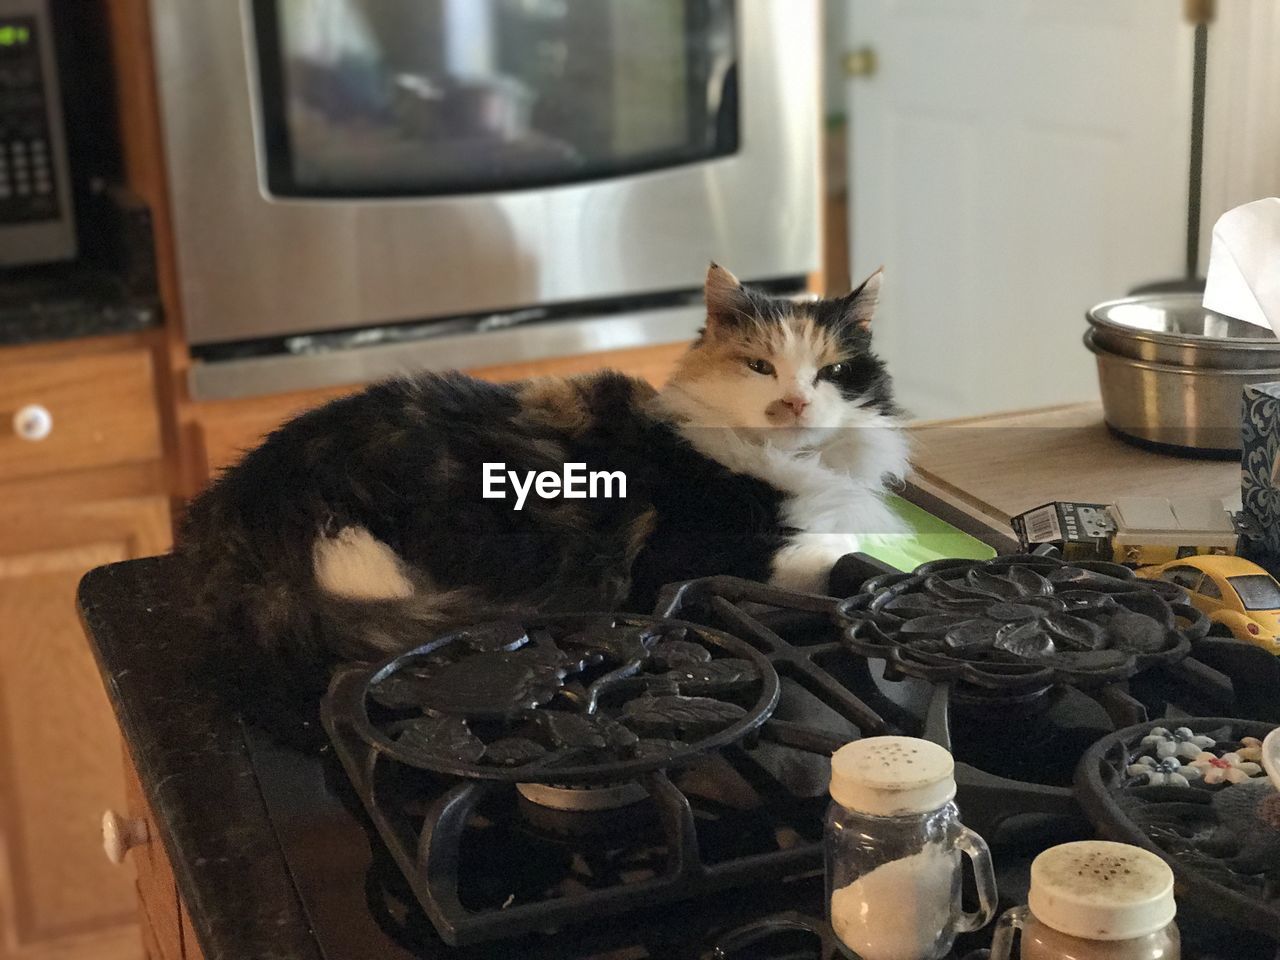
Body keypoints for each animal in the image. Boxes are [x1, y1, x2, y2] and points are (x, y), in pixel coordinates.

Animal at [180, 261, 911, 686]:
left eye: (832, 372)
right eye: (760, 367)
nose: (793, 404)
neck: (798, 462)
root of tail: (231, 506)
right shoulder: (682, 555)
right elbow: (831, 550)